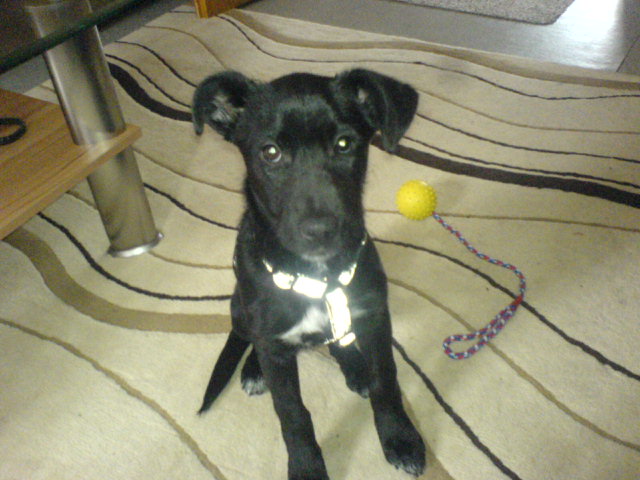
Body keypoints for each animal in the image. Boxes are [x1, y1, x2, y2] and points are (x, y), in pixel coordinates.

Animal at [192, 68, 426, 480]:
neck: (320, 277)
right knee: (252, 341)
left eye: (344, 144)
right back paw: (254, 370)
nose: (320, 230)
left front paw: (399, 436)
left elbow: (386, 379)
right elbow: (293, 415)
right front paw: (306, 467)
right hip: (241, 308)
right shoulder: (274, 346)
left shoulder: (375, 317)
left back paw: (354, 367)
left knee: (338, 340)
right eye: (270, 152)